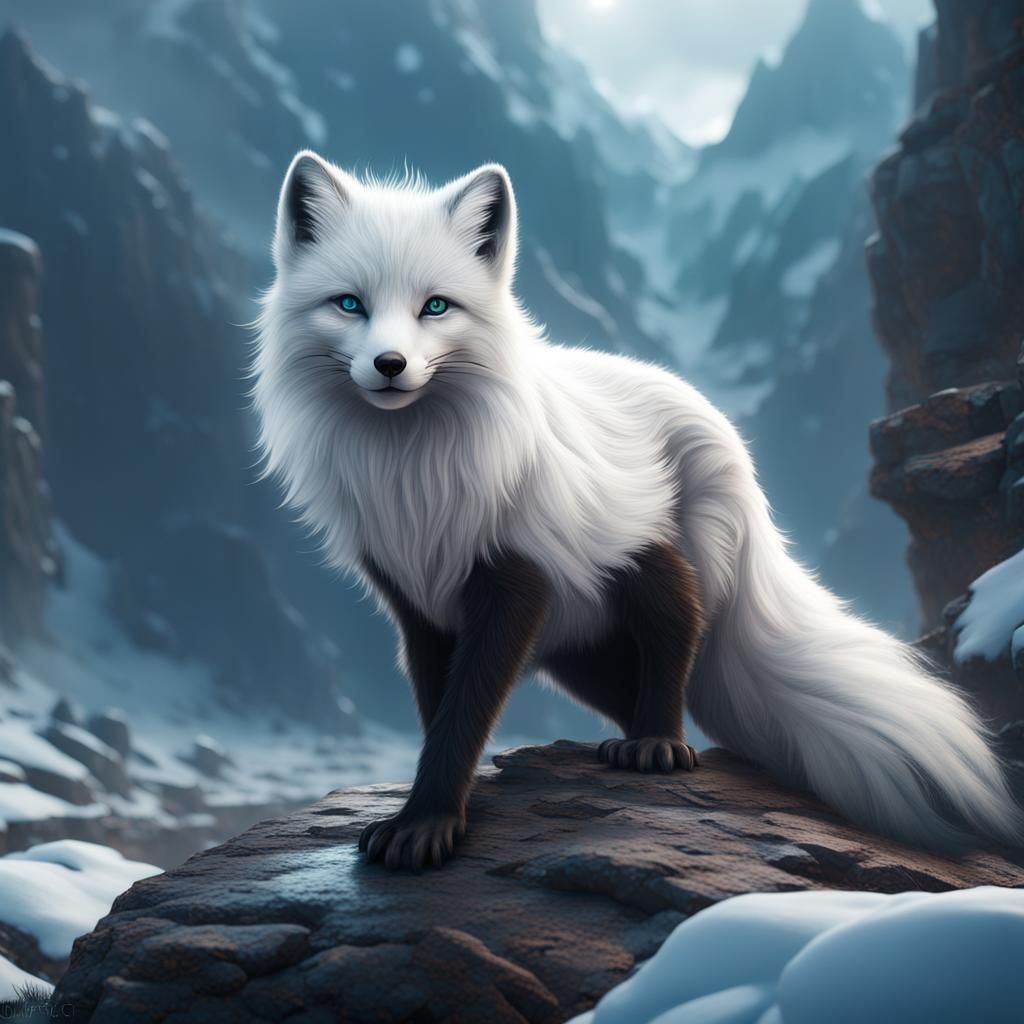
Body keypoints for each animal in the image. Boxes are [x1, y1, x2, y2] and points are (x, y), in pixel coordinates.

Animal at [252, 150, 1024, 871]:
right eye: (349, 304)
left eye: (435, 308)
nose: (389, 365)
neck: (412, 477)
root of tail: (719, 426)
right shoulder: (418, 604)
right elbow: (437, 710)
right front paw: (430, 812)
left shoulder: (515, 580)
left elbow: (464, 715)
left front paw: (427, 825)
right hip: (572, 639)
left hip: (630, 557)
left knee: (680, 624)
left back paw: (659, 743)